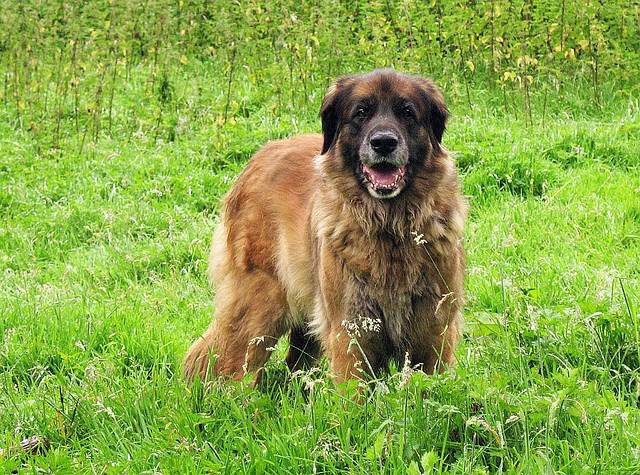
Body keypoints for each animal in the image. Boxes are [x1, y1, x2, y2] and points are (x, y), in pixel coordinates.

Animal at [182, 69, 468, 384]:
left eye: (407, 112)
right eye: (361, 112)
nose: (383, 143)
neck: (389, 226)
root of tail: (258, 157)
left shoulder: (433, 332)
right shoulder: (349, 331)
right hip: (259, 307)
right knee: (225, 363)